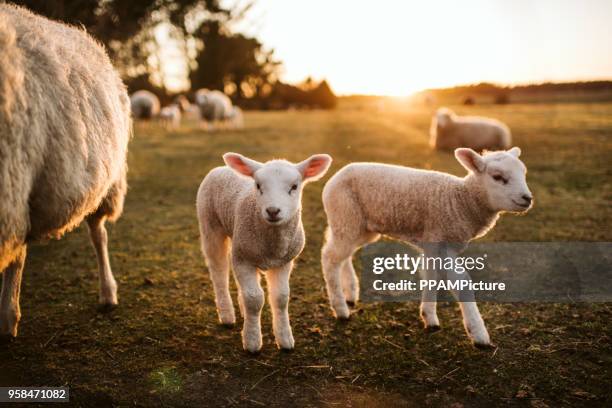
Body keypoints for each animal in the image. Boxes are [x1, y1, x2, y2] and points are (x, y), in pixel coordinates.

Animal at [197, 151, 332, 352]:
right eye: (258, 186)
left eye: (294, 186)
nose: (273, 210)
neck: (272, 246)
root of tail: (220, 168)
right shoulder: (244, 259)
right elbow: (254, 299)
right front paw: (252, 341)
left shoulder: (283, 261)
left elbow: (280, 298)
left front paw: (284, 339)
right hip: (210, 226)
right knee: (219, 272)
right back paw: (227, 315)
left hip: (238, 240)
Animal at [320, 148, 532, 346]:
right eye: (497, 177)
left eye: (524, 173)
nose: (527, 198)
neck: (461, 202)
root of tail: (338, 174)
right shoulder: (440, 241)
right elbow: (462, 283)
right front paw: (479, 334)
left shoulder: (433, 245)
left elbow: (432, 277)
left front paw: (429, 317)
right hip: (345, 215)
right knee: (330, 257)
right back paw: (341, 309)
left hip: (358, 226)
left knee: (343, 254)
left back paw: (350, 293)